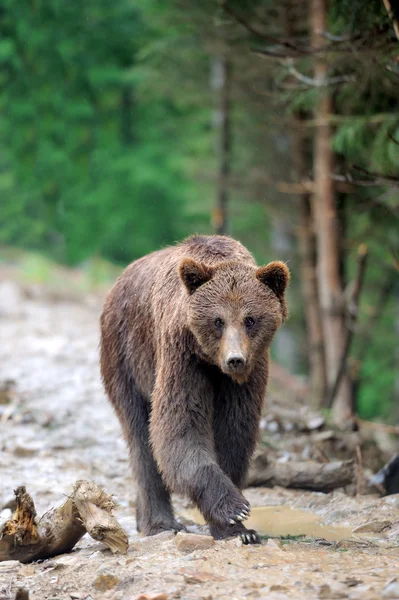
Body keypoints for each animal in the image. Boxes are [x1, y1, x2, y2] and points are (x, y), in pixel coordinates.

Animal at [100, 234, 290, 544]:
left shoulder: (247, 376)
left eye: (250, 319)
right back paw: (160, 523)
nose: (235, 359)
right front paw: (234, 509)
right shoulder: (182, 355)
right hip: (125, 355)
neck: (212, 363)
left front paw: (239, 530)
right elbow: (179, 428)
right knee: (140, 437)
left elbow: (234, 433)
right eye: (218, 320)